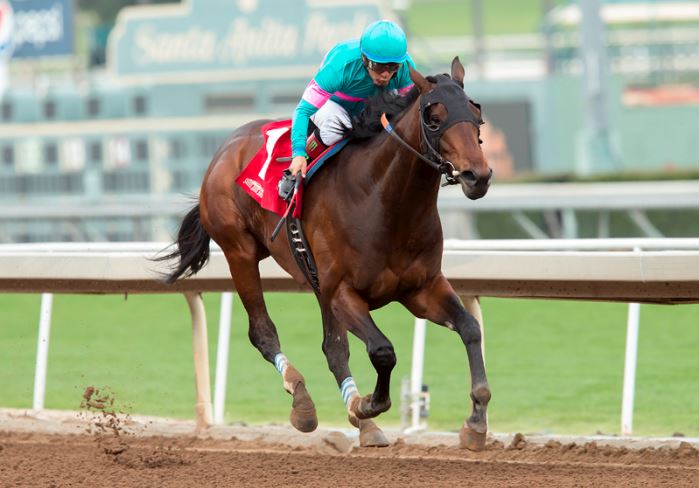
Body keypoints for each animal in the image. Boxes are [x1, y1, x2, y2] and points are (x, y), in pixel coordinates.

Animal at [162, 56, 494, 450]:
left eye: (476, 113)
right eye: (433, 117)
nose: (478, 176)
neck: (383, 201)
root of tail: (226, 147)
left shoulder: (421, 288)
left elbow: (470, 328)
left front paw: (475, 421)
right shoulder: (343, 293)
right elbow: (383, 350)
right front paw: (368, 404)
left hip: (315, 279)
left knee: (333, 349)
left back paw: (362, 423)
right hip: (239, 252)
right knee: (263, 332)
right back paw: (303, 401)